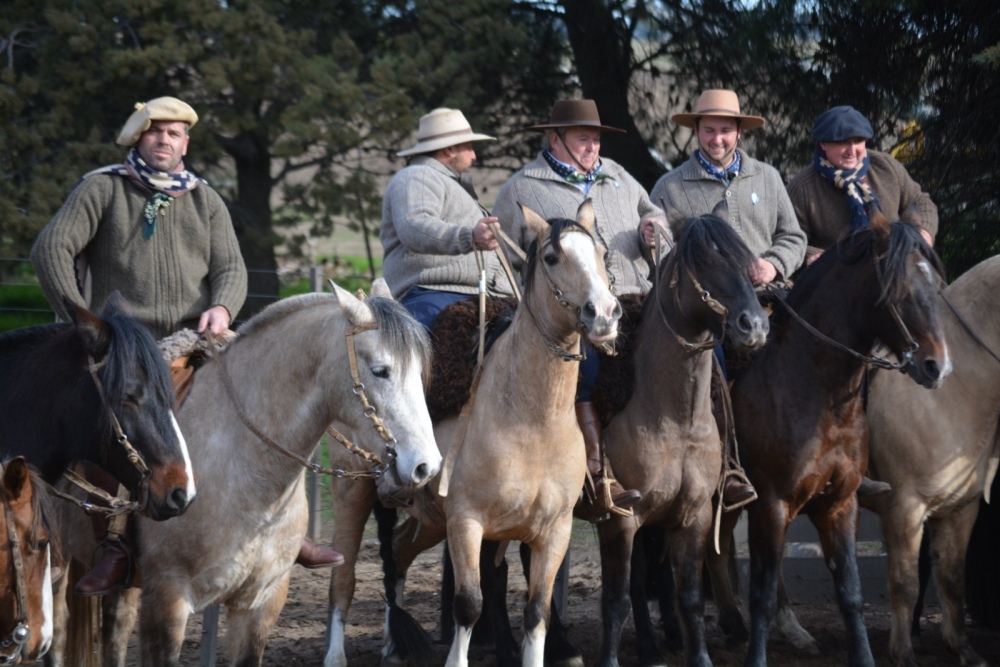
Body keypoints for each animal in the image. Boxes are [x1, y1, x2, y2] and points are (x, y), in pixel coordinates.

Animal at [732, 215, 948, 667]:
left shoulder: (839, 504)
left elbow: (850, 593)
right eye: (900, 290)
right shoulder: (772, 504)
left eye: (936, 287)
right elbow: (761, 593)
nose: (937, 366)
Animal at [860, 252, 1000, 667]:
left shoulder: (962, 508)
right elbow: (905, 583)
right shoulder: (904, 507)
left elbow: (951, 577)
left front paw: (962, 648)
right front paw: (903, 653)